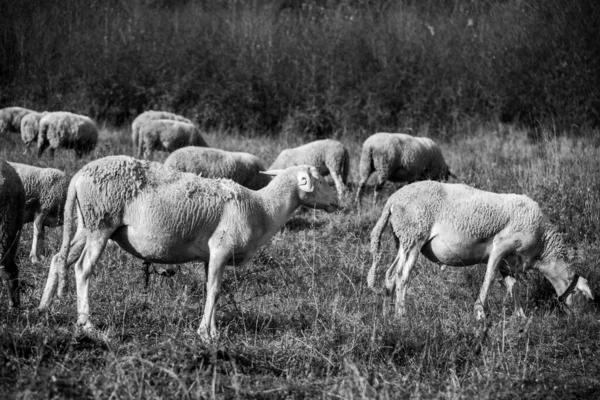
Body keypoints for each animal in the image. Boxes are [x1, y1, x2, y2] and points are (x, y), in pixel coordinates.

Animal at [38, 155, 338, 340]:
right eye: (319, 179)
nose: (337, 201)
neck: (262, 208)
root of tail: (78, 175)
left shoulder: (211, 256)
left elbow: (212, 290)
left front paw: (213, 330)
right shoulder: (221, 247)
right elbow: (215, 290)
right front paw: (205, 334)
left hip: (85, 225)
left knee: (58, 259)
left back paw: (44, 308)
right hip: (101, 222)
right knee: (82, 268)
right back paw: (87, 324)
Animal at [370, 181, 596, 322]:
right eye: (587, 298)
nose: (583, 322)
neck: (543, 248)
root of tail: (392, 200)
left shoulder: (509, 262)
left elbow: (513, 287)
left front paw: (521, 316)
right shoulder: (501, 245)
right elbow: (489, 278)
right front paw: (479, 314)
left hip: (402, 239)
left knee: (390, 275)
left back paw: (386, 317)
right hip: (414, 235)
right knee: (402, 276)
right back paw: (401, 316)